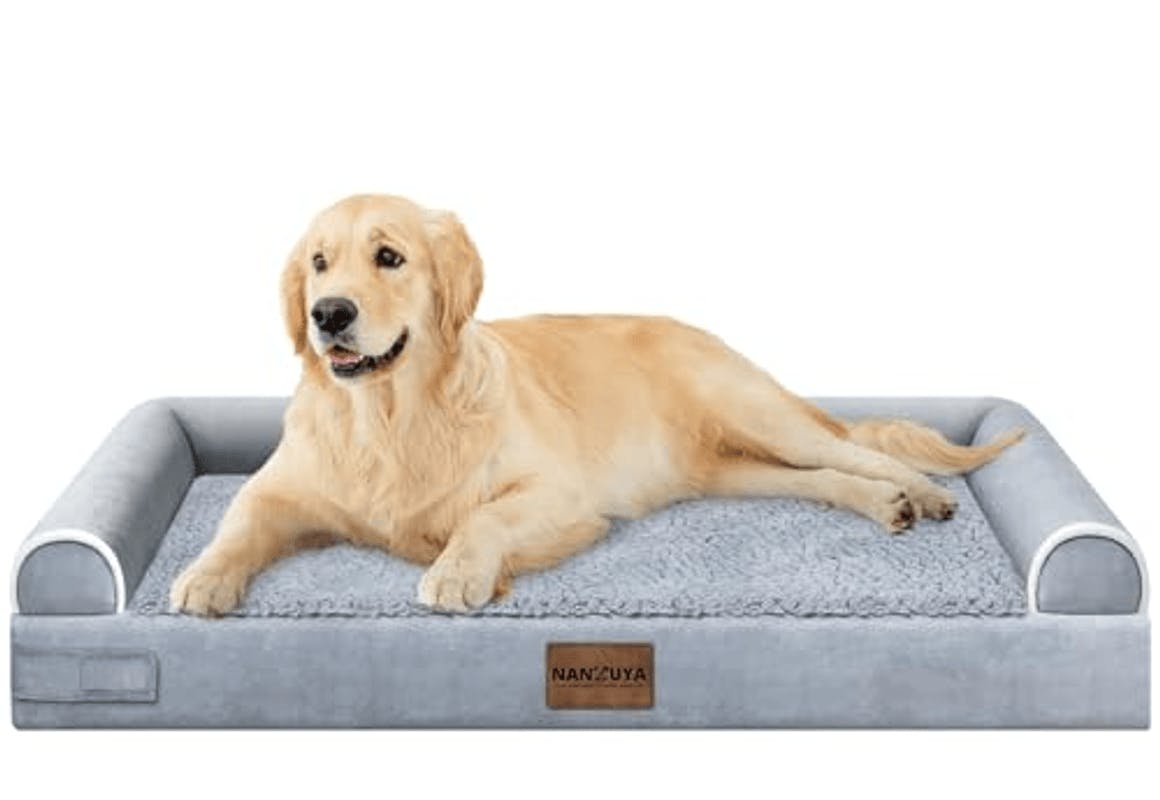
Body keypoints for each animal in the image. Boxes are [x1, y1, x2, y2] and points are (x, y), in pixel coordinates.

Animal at [170, 194, 1023, 615]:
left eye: (389, 256)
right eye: (318, 264)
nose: (329, 314)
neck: (389, 416)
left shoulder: (564, 497)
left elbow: (481, 518)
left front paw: (456, 575)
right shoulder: (279, 487)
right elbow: (236, 521)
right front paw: (204, 580)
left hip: (759, 414)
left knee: (860, 449)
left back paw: (924, 494)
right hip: (729, 469)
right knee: (830, 479)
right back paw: (886, 506)